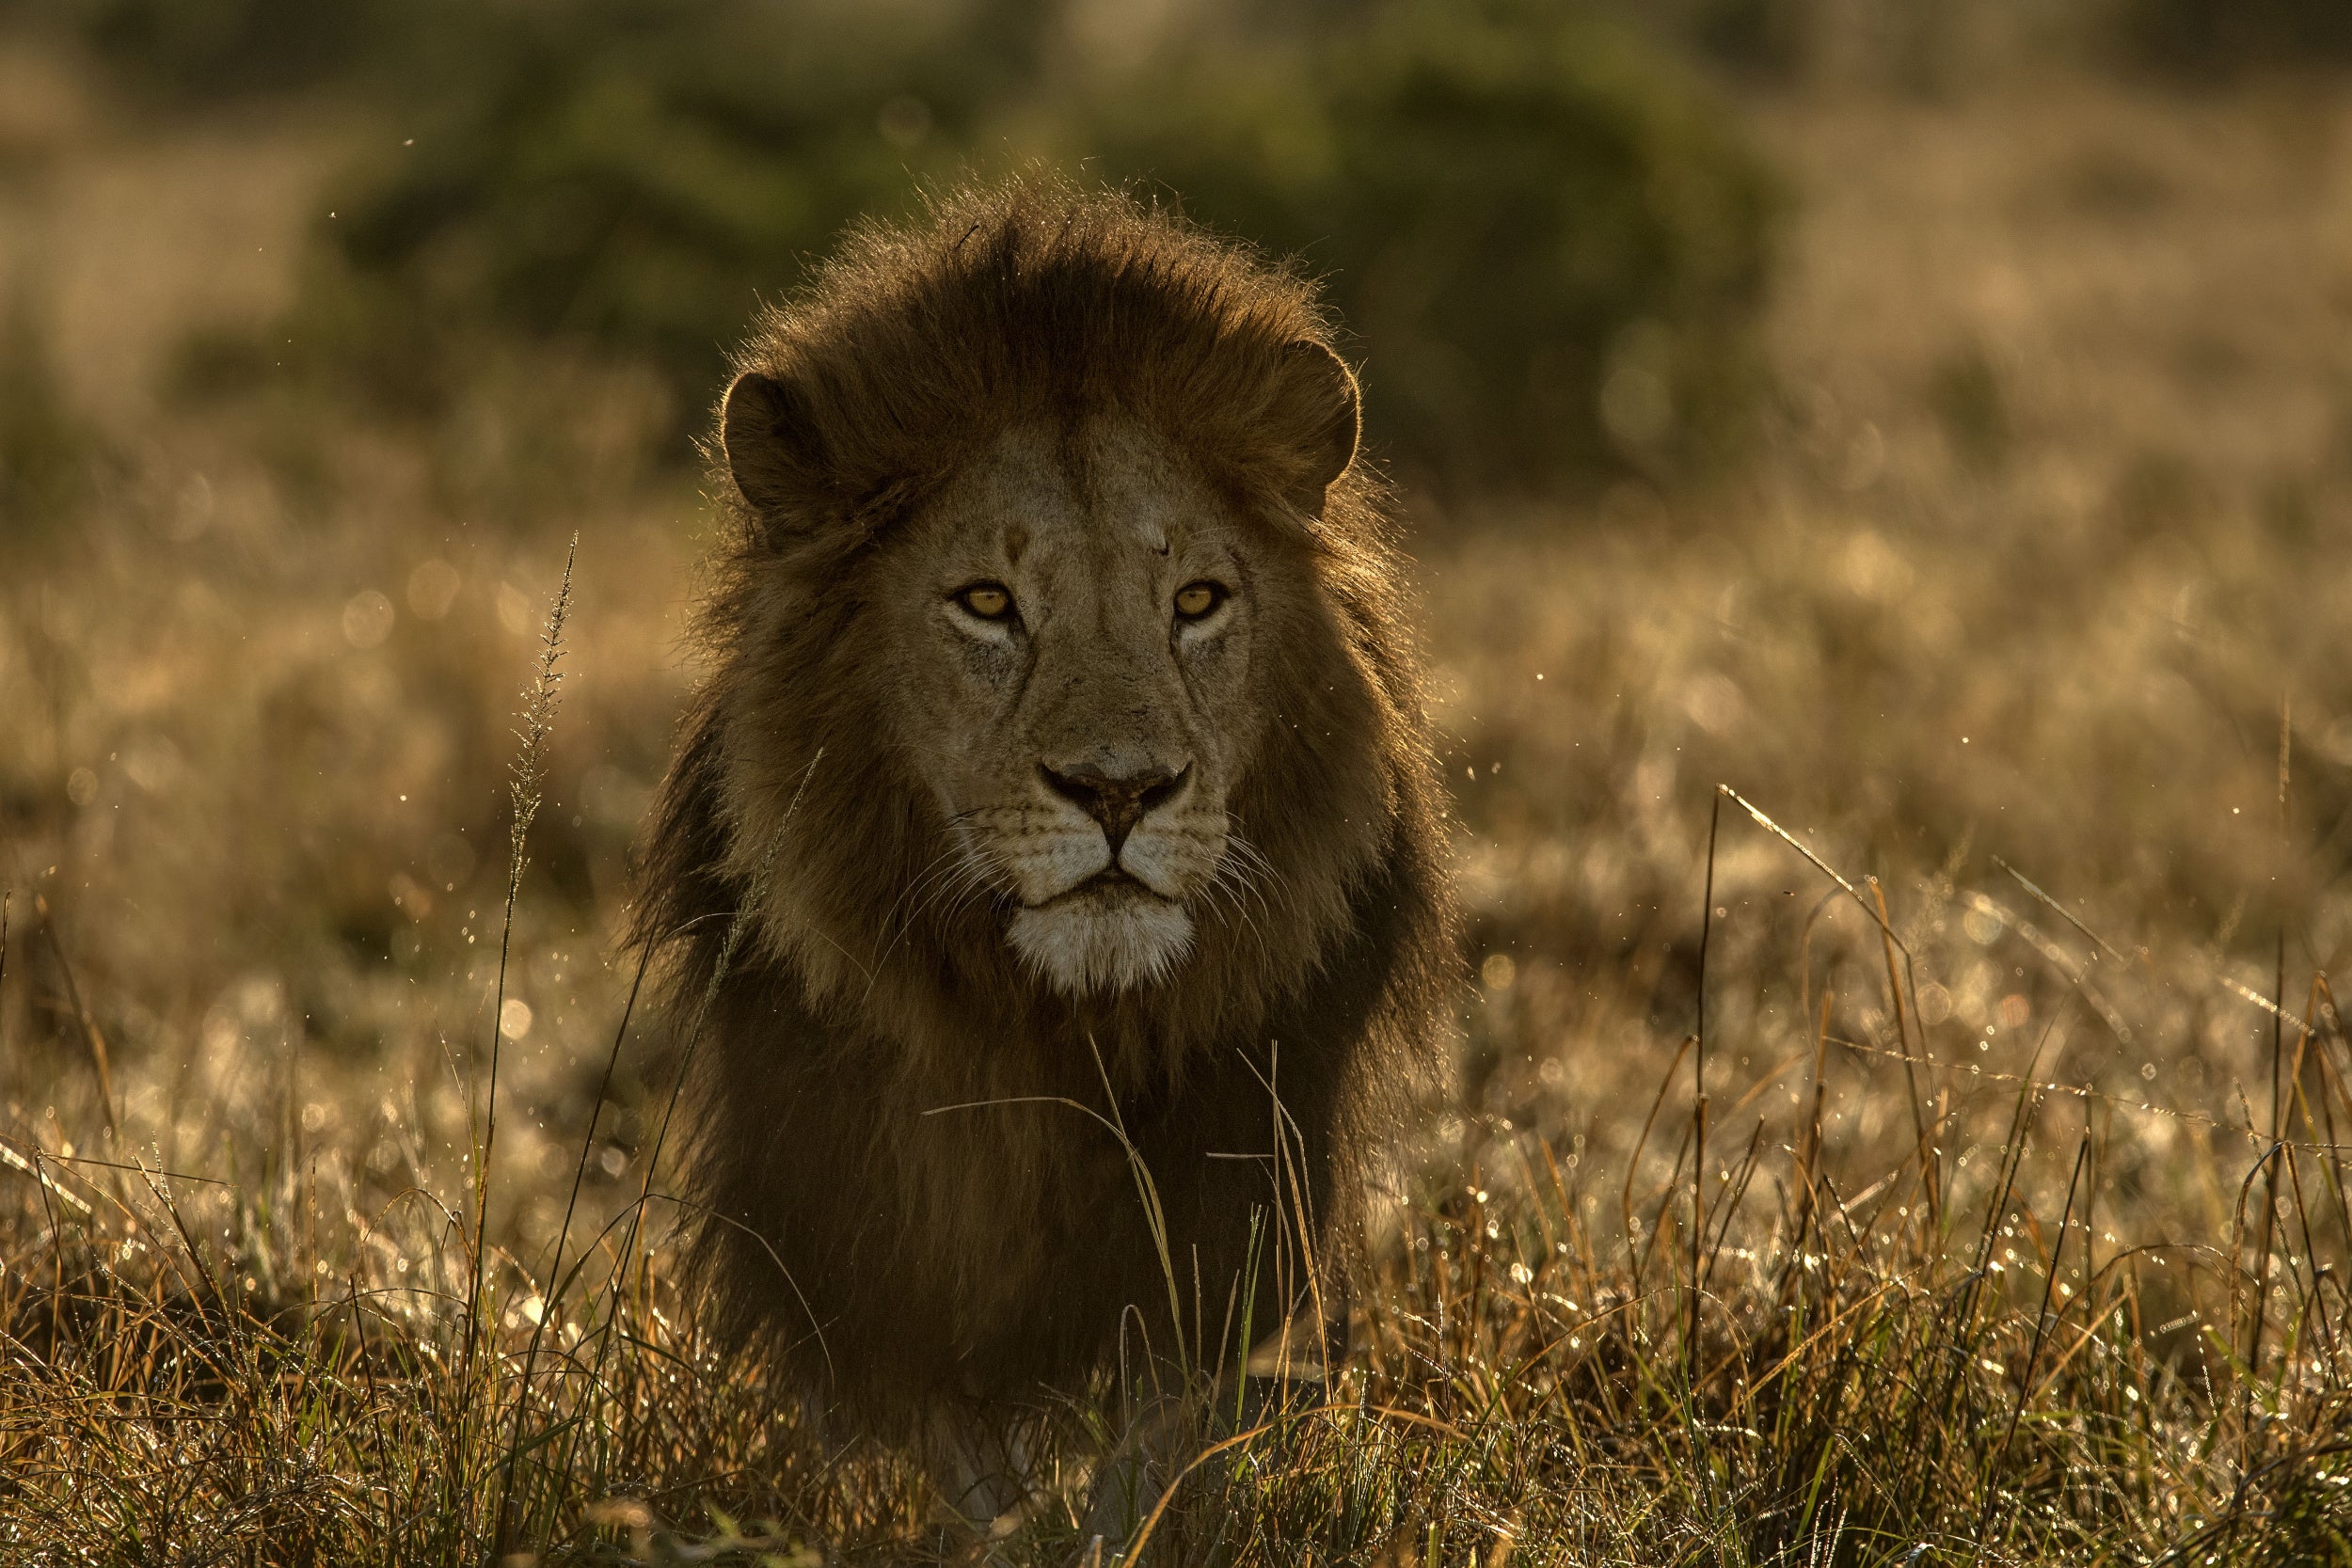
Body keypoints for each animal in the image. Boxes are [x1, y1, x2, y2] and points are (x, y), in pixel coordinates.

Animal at [633, 177, 1456, 1526]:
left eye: (1196, 601)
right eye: (986, 603)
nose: (1119, 789)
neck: (1058, 1025)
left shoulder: (1231, 1188)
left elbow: (1154, 1448)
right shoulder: (867, 1215)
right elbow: (969, 1465)